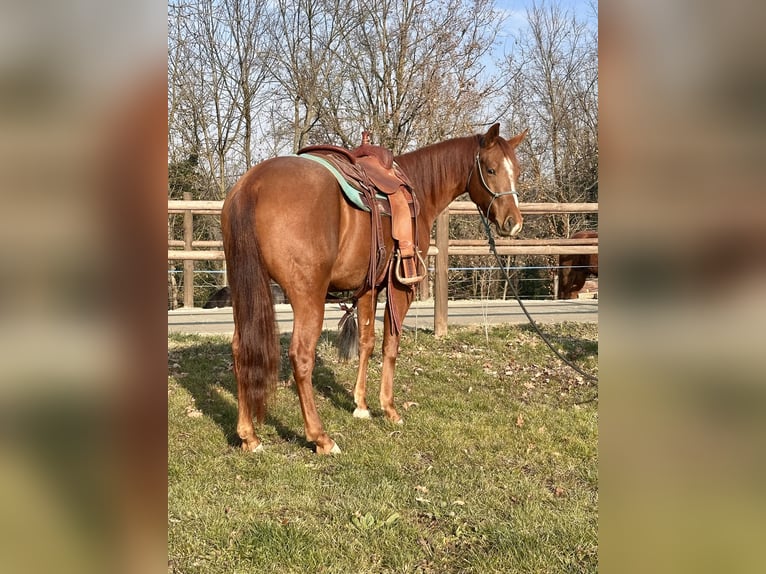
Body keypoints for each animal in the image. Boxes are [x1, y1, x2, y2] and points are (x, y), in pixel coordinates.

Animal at [222, 123, 527, 454]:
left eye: (517, 170)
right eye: (491, 169)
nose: (513, 223)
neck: (419, 188)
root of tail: (252, 185)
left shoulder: (367, 288)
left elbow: (366, 342)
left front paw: (361, 405)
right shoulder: (400, 287)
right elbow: (390, 345)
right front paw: (389, 409)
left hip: (244, 291)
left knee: (240, 350)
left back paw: (249, 436)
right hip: (308, 297)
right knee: (301, 356)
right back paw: (321, 437)